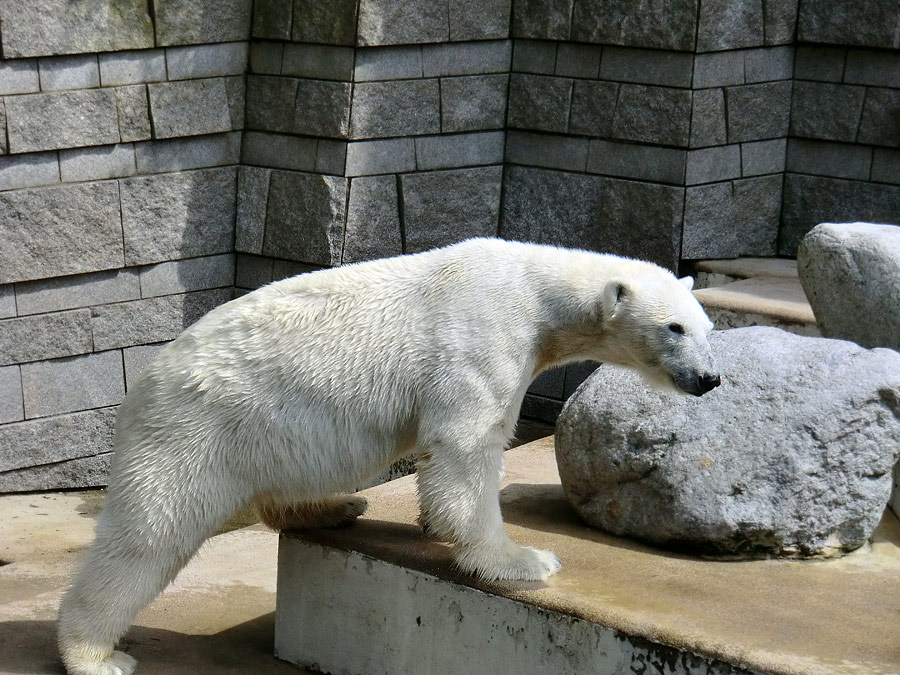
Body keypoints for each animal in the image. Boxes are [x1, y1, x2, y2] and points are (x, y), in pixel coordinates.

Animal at [56, 236, 720, 672]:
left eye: (706, 326)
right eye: (673, 328)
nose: (709, 379)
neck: (537, 290)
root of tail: (142, 385)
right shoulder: (485, 339)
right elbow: (467, 448)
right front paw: (522, 560)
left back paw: (336, 508)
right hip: (197, 430)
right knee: (150, 534)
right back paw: (95, 655)